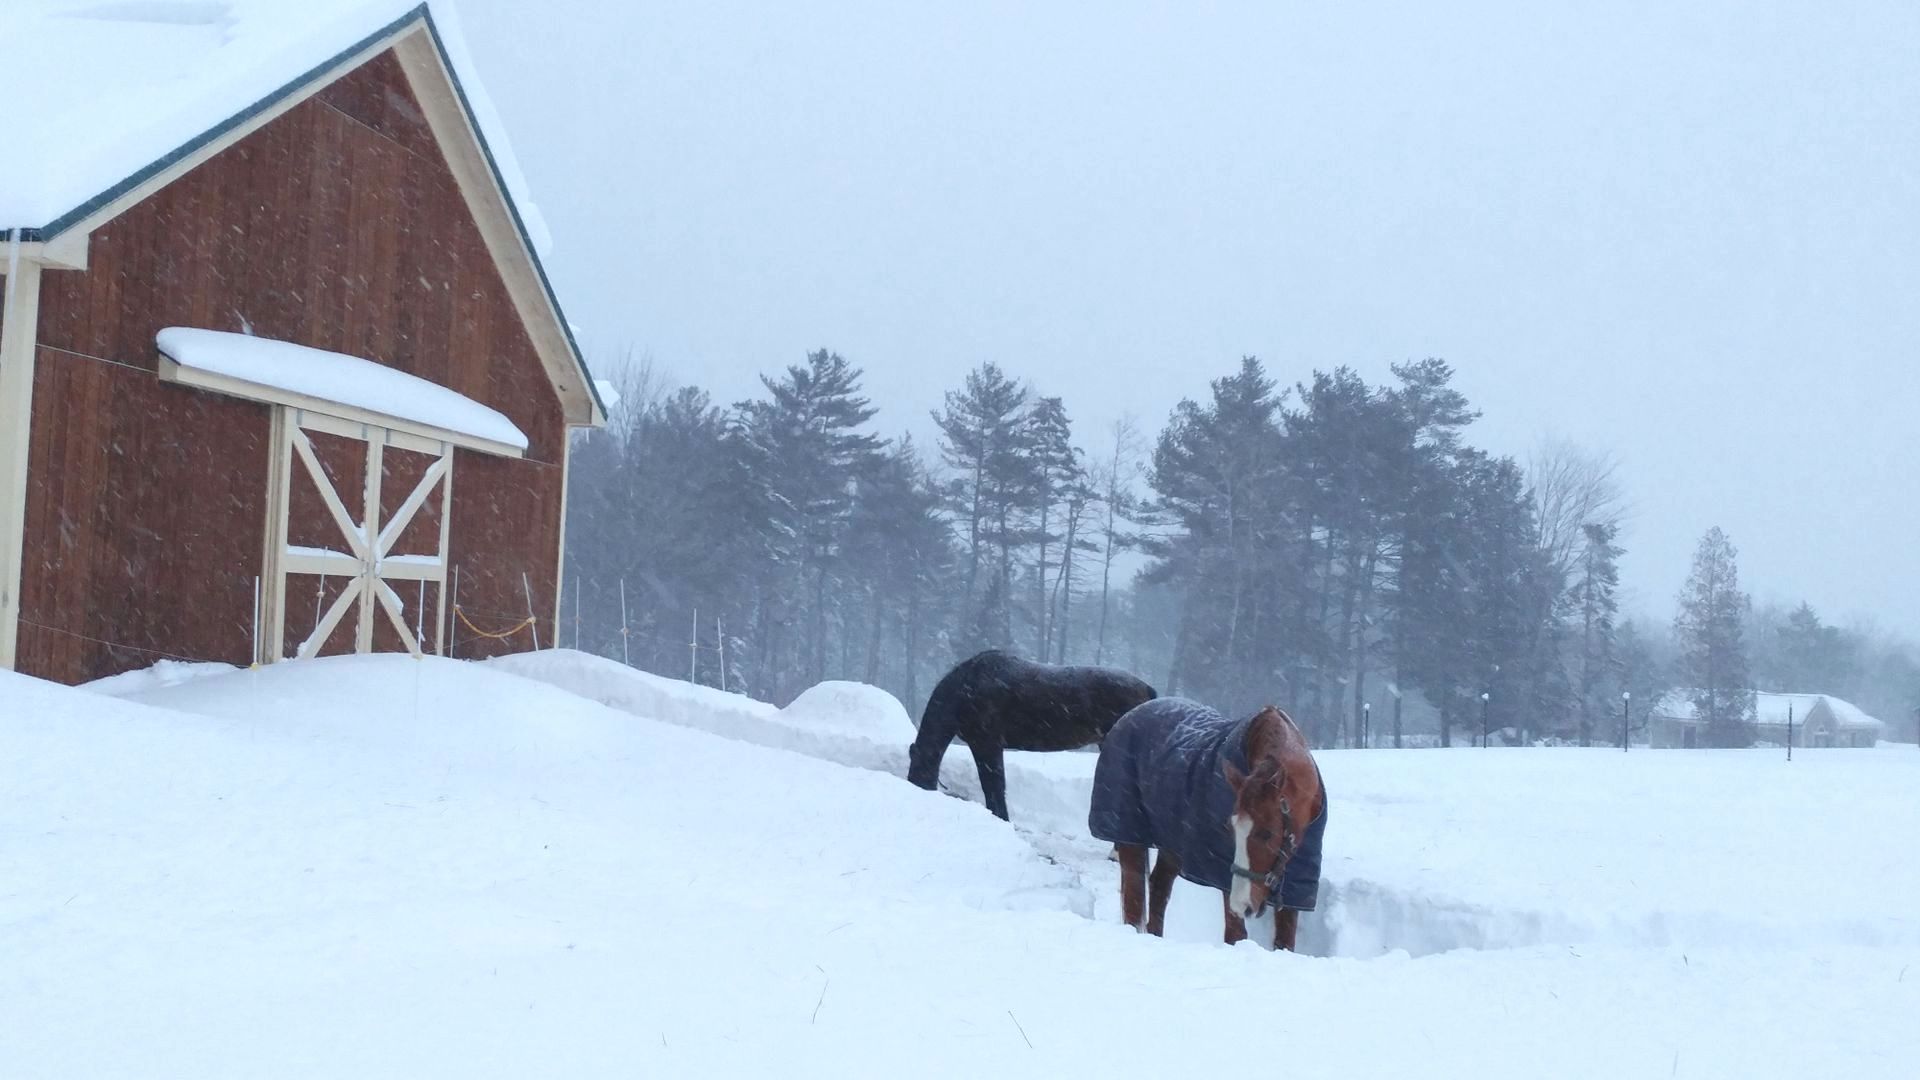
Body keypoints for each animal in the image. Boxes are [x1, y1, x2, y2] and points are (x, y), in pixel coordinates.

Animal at [1089, 698, 1327, 950]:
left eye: (1267, 833)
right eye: (1229, 830)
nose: (1242, 904)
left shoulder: (1296, 884)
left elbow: (1285, 941)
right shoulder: (1224, 877)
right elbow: (1235, 935)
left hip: (1172, 846)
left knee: (1158, 887)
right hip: (1130, 838)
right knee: (1134, 901)